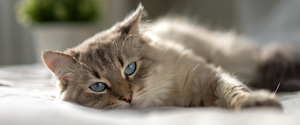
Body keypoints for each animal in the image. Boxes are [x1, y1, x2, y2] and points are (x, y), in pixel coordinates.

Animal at [41, 3, 292, 110]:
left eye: (130, 69)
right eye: (98, 87)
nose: (128, 98)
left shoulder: (209, 76)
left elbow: (234, 89)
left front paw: (256, 103)